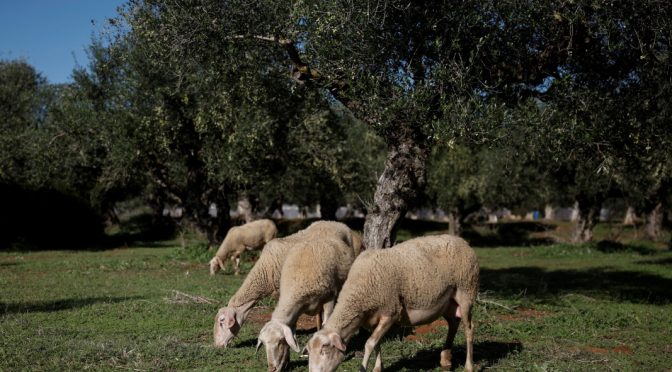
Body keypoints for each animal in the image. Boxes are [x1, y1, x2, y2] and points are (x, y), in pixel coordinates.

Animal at [256, 232, 360, 372]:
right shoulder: (295, 311)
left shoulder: (330, 297)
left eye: (280, 341)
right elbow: (293, 333)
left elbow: (327, 323)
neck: (296, 285)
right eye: (264, 344)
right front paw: (287, 362)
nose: (271, 369)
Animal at [304, 235, 478, 372]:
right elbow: (377, 343)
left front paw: (364, 368)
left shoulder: (390, 313)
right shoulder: (371, 320)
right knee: (453, 324)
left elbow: (369, 344)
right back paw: (446, 359)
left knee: (469, 329)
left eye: (325, 350)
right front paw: (377, 367)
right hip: (448, 303)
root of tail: (462, 241)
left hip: (466, 291)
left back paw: (468, 366)